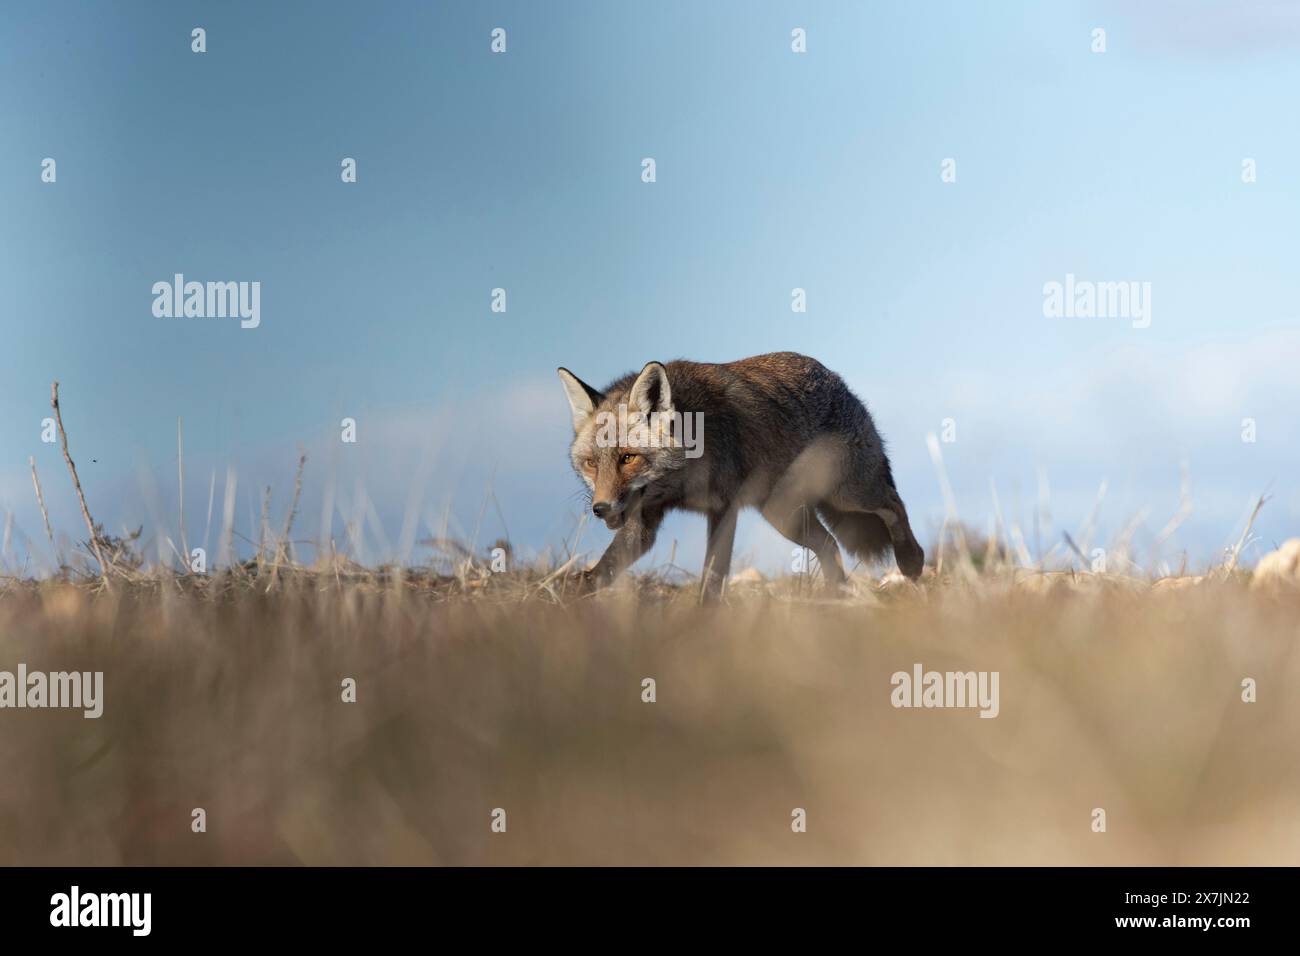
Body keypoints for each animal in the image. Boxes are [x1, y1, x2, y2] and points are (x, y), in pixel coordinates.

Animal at [559, 351, 925, 598]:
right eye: (591, 463)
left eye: (628, 458)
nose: (600, 509)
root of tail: (837, 380)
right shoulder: (643, 520)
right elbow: (604, 569)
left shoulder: (724, 507)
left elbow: (712, 577)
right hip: (783, 514)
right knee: (830, 544)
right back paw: (836, 598)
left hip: (846, 494)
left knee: (893, 505)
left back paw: (911, 561)